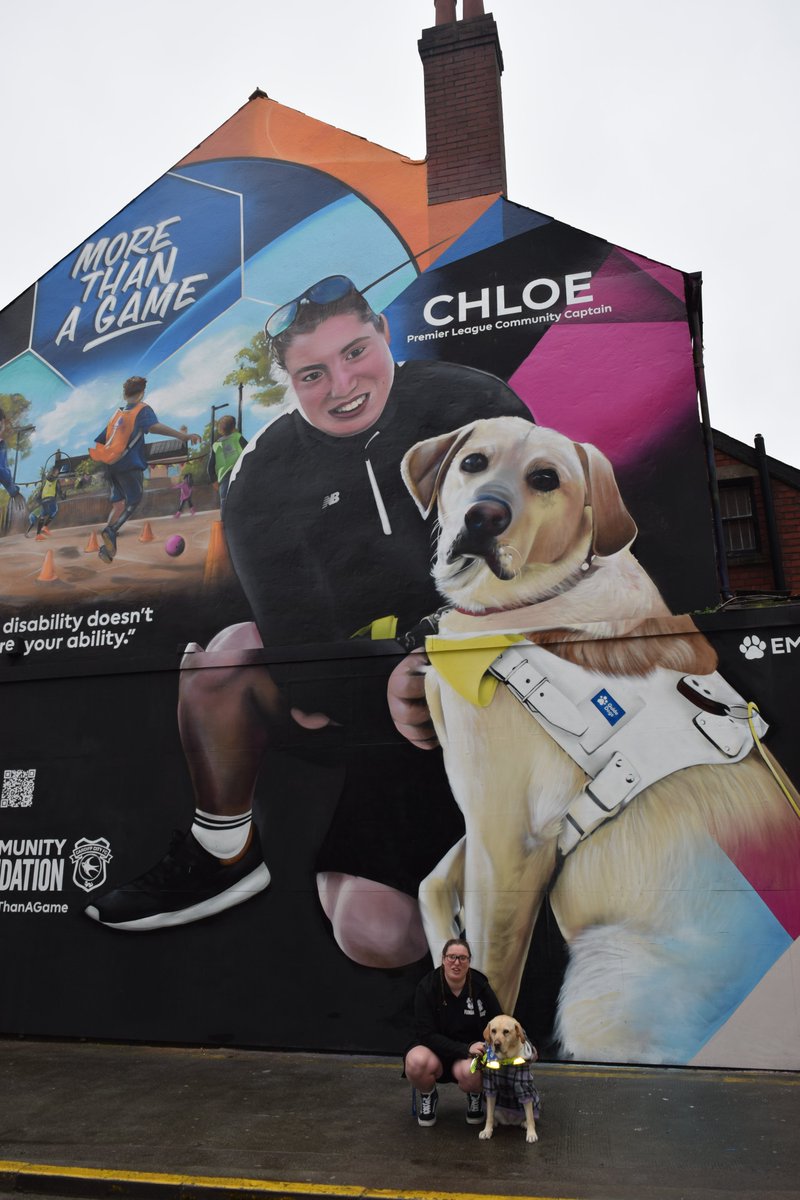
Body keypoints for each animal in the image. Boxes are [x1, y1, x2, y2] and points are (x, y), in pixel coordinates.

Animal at [402, 417, 796, 1065]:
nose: (484, 516)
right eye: (473, 462)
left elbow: (491, 965)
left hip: (600, 981)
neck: (546, 597)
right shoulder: (501, 822)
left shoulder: (510, 832)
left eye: (546, 479)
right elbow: (431, 882)